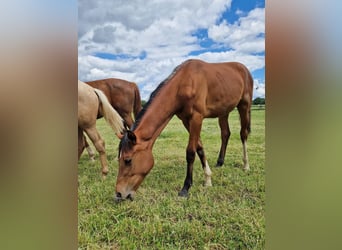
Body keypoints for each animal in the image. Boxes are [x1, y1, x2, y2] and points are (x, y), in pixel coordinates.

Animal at [116, 59, 252, 201]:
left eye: (128, 160)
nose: (119, 194)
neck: (184, 83)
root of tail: (243, 69)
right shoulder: (186, 120)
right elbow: (199, 148)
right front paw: (208, 179)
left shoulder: (197, 118)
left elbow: (191, 152)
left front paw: (185, 188)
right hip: (224, 111)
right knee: (225, 134)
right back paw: (220, 162)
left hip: (244, 105)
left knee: (243, 134)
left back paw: (246, 165)